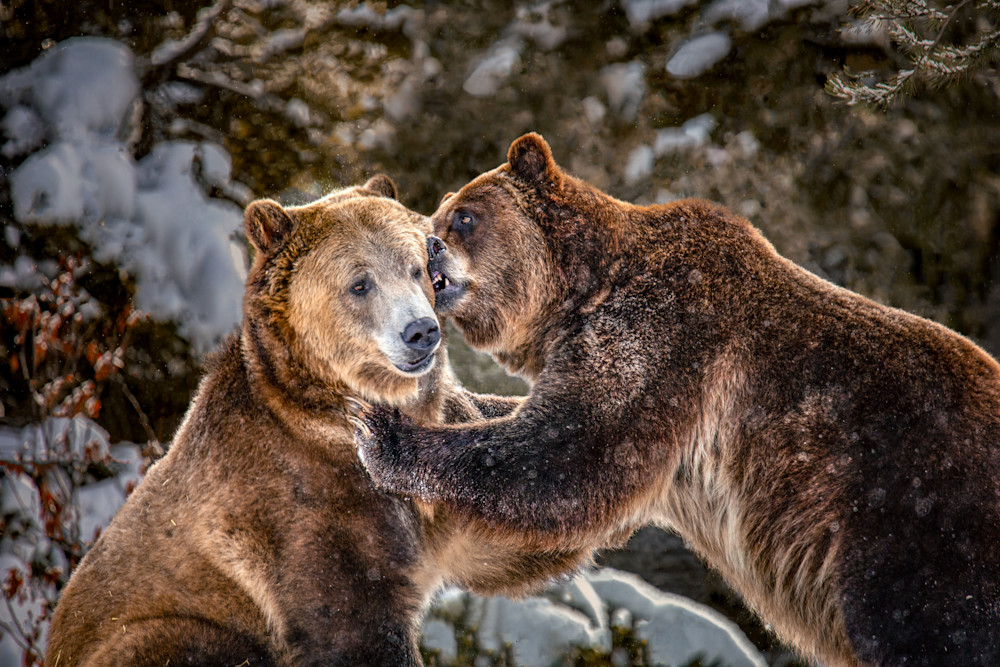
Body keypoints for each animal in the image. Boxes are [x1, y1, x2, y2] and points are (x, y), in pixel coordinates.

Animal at [45, 175, 588, 667]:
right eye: (359, 283)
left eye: (418, 269)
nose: (421, 332)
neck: (332, 412)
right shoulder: (301, 508)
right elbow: (352, 623)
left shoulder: (431, 491)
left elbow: (511, 514)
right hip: (164, 628)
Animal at [357, 134, 1000, 666]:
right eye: (437, 214)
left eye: (464, 215)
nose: (429, 245)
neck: (579, 298)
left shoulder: (665, 338)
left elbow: (573, 456)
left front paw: (382, 432)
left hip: (907, 524)